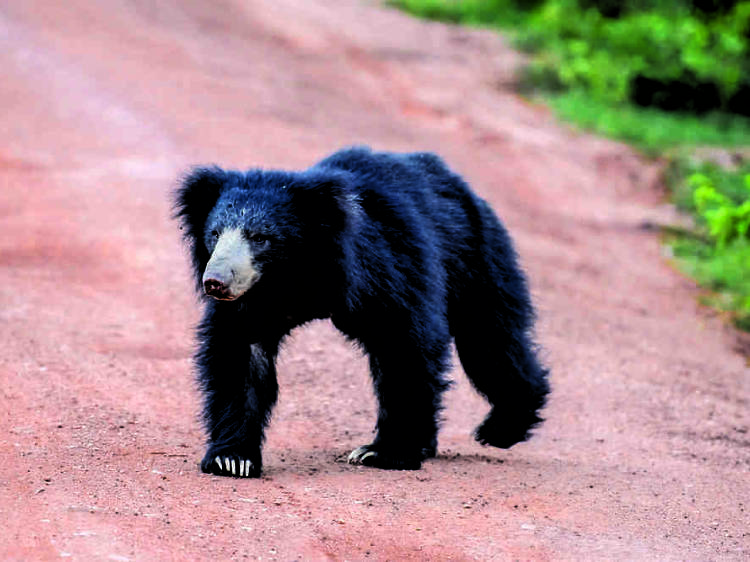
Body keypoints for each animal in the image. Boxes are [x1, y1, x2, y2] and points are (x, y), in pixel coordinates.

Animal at [176, 147, 552, 474]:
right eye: (215, 234)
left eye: (261, 238)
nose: (215, 282)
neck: (295, 279)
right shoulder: (253, 302)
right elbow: (240, 357)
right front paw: (231, 460)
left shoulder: (391, 267)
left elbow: (405, 347)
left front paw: (383, 453)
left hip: (476, 259)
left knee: (490, 342)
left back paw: (500, 429)